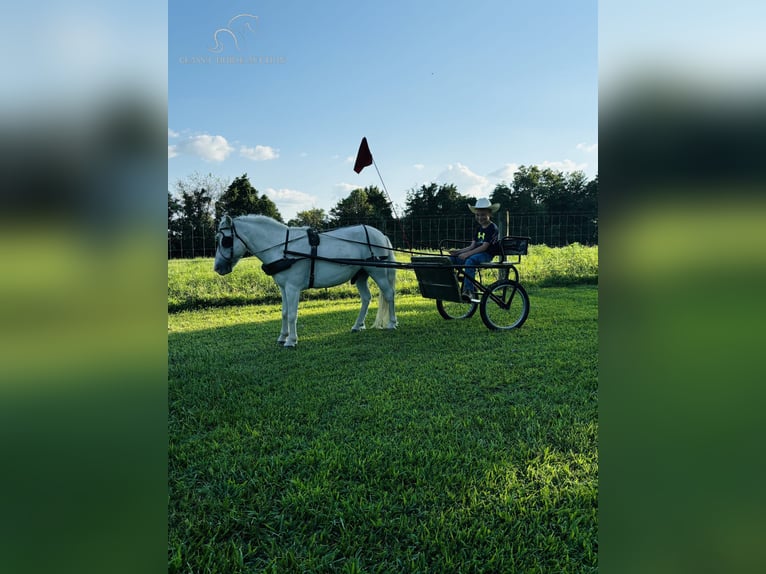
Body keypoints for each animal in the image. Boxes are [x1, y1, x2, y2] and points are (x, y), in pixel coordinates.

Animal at [213, 215, 400, 346]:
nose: (217, 268)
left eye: (225, 240)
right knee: (366, 298)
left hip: (377, 271)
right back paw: (357, 325)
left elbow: (292, 314)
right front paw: (282, 337)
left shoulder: (292, 288)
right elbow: (284, 313)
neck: (283, 248)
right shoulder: (283, 288)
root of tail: (381, 234)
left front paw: (291, 340)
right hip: (361, 274)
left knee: (389, 294)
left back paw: (392, 323)